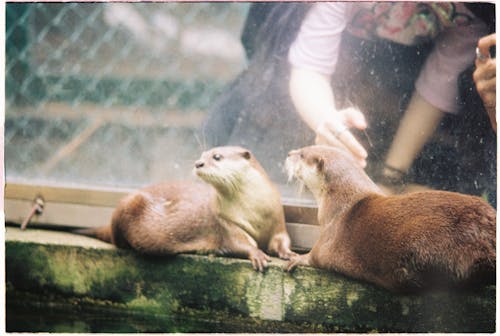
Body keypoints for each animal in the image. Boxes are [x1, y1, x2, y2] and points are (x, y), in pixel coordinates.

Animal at [75, 146, 294, 272]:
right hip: (127, 207)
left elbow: (282, 240)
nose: (198, 163)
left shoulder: (278, 219)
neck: (254, 211)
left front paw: (290, 254)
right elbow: (239, 243)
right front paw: (257, 254)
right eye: (201, 154)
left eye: (217, 156)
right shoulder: (225, 222)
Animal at [286, 145, 496, 292]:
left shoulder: (329, 235)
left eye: (302, 154)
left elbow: (316, 255)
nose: (289, 154)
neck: (341, 203)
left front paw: (297, 258)